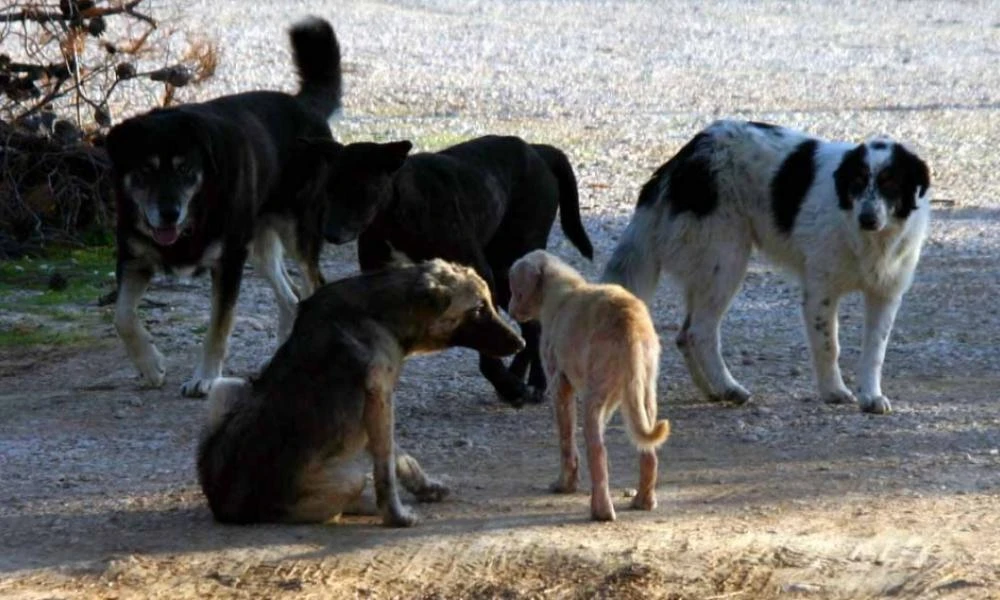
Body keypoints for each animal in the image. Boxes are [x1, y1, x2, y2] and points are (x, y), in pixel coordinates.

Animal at [105, 16, 340, 396]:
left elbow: (218, 327)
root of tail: (304, 105)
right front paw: (151, 366)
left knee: (313, 284)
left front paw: (204, 378)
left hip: (296, 232)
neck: (195, 214)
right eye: (145, 171)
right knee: (291, 299)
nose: (168, 213)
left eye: (185, 170)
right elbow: (122, 317)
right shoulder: (134, 258)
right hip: (258, 245)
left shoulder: (228, 262)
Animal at [194, 258, 524, 524]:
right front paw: (396, 516)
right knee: (339, 502)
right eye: (479, 309)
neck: (382, 313)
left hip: (227, 387)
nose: (521, 343)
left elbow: (400, 457)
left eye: (490, 304)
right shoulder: (380, 399)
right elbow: (385, 468)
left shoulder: (378, 407)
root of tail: (225, 508)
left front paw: (424, 488)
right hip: (347, 478)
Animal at [304, 135, 592, 408]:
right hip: (506, 276)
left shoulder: (481, 276)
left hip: (511, 263)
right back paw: (519, 377)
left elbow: (487, 345)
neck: (396, 213)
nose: (329, 232)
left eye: (361, 190)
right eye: (328, 189)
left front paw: (507, 384)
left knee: (535, 326)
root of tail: (537, 150)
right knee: (530, 326)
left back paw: (534, 383)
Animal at [508, 248, 672, 520]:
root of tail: (630, 324)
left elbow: (566, 441)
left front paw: (565, 485)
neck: (562, 289)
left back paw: (601, 511)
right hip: (644, 393)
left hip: (595, 398)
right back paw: (644, 501)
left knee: (598, 452)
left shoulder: (559, 384)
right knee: (648, 452)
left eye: (514, 288)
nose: (510, 311)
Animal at [604, 120, 932, 414]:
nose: (867, 218)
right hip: (726, 260)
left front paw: (870, 396)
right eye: (858, 182)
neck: (868, 238)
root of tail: (685, 156)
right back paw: (728, 387)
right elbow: (829, 346)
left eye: (890, 183)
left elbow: (875, 351)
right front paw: (834, 391)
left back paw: (712, 390)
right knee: (700, 331)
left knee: (684, 335)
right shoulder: (821, 292)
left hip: (707, 269)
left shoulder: (885, 294)